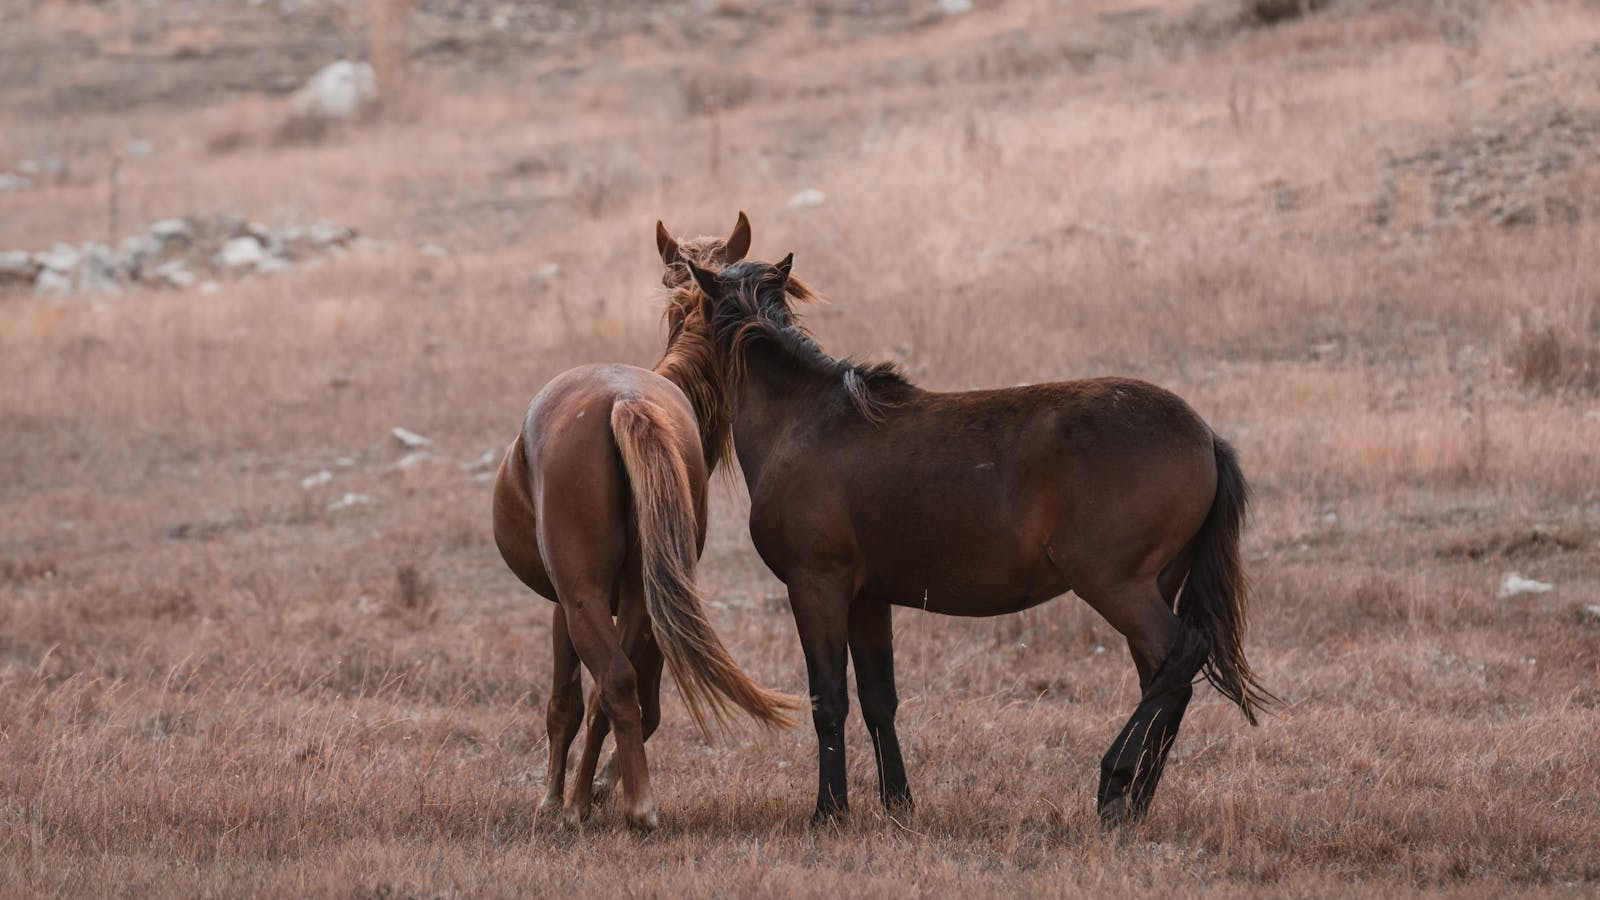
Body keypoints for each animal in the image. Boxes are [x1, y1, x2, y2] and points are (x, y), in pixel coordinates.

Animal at [489, 212, 796, 832]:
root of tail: (626, 402)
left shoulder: (562, 604)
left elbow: (565, 704)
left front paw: (558, 799)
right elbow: (636, 706)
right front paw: (590, 791)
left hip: (587, 597)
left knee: (609, 683)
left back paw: (628, 807)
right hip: (639, 594)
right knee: (624, 689)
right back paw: (615, 800)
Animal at [678, 256, 1273, 826]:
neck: (803, 421)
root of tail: (1205, 435)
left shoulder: (815, 587)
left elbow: (829, 701)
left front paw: (829, 811)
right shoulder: (868, 600)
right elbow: (878, 701)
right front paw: (898, 805)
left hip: (1117, 586)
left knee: (1180, 659)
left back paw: (1114, 782)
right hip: (1154, 586)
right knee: (1167, 682)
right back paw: (1137, 801)